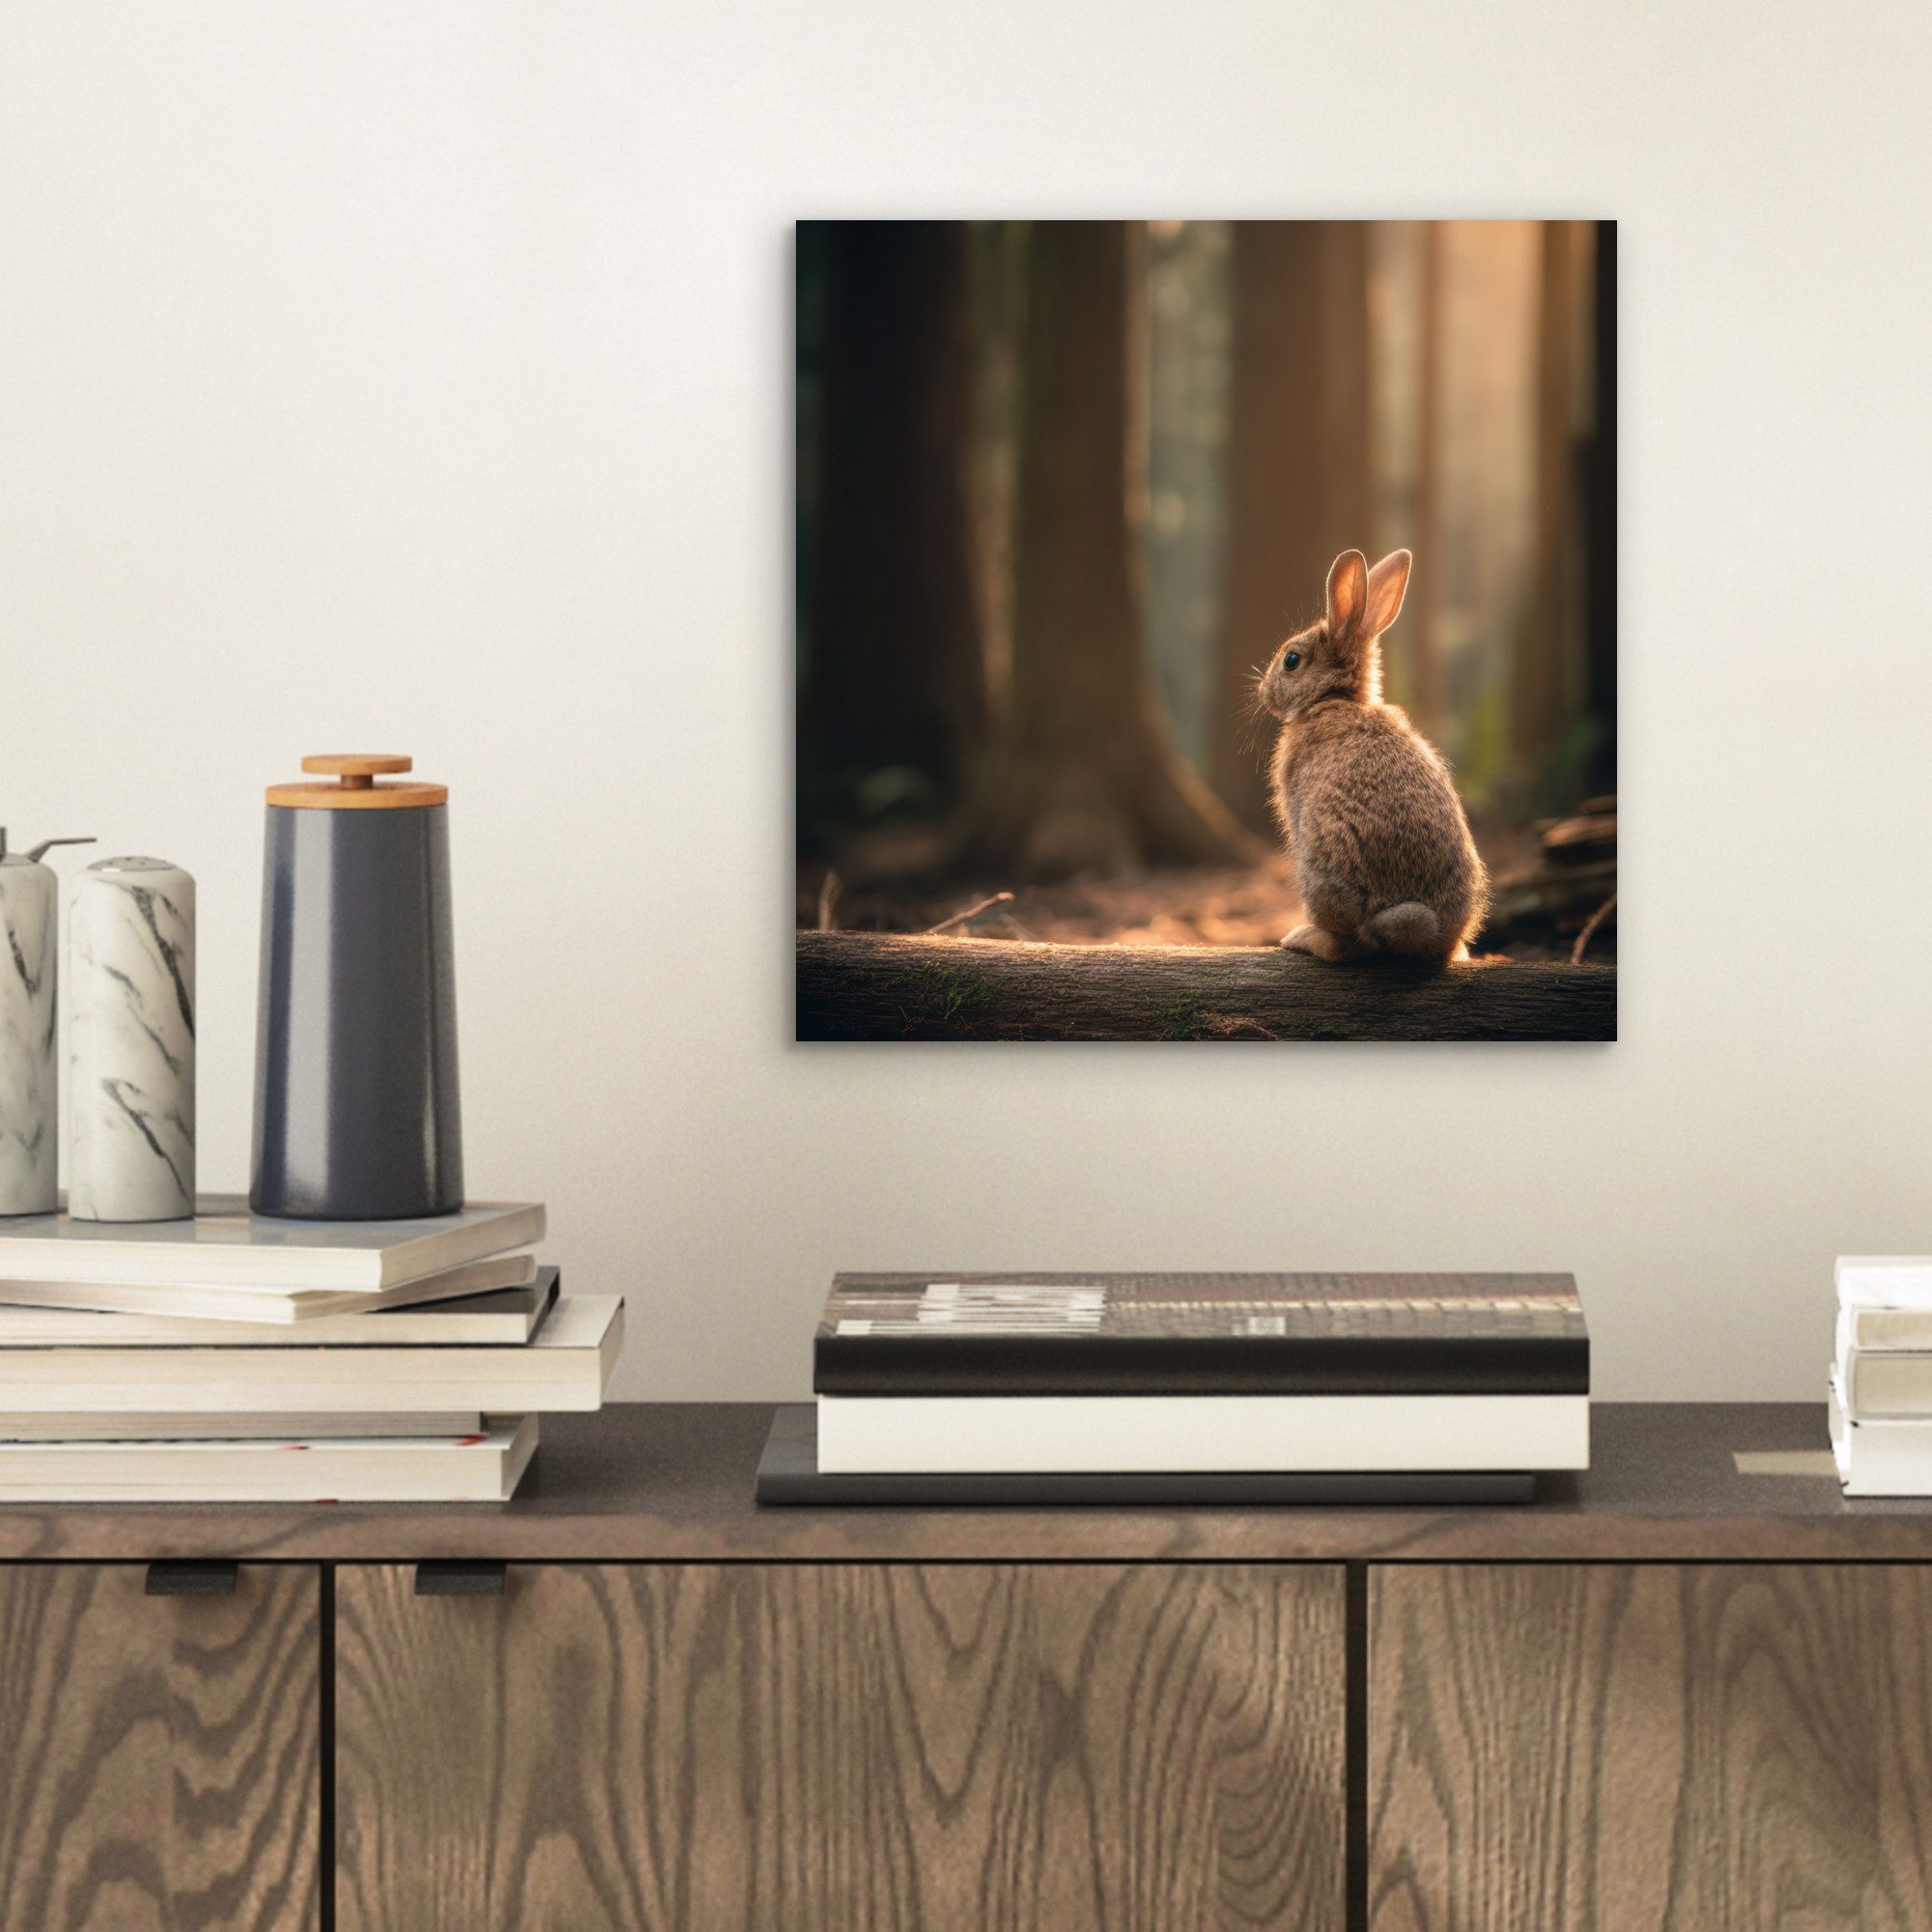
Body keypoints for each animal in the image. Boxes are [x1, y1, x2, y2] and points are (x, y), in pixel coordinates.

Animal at [1258, 547, 1489, 965]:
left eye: (1291, 660)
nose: (1264, 693)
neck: (1333, 697)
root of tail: (1413, 928)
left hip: (1319, 876)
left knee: (1345, 946)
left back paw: (1302, 937)